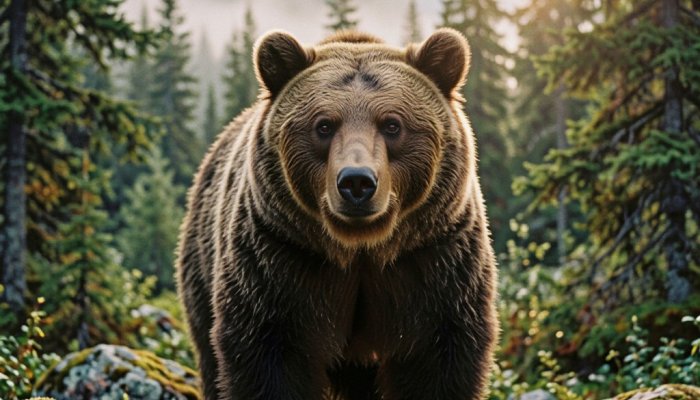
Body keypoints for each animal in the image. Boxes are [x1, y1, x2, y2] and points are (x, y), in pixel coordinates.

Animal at [176, 28, 498, 400]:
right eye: (324, 125)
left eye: (392, 124)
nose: (357, 181)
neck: (360, 249)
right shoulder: (278, 263)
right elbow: (267, 358)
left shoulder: (434, 263)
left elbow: (436, 362)